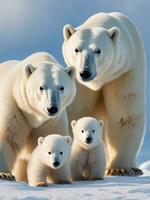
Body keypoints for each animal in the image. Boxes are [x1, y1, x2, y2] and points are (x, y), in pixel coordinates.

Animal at [0, 52, 75, 180]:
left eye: (61, 87)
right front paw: (5, 174)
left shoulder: (52, 121)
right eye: (41, 87)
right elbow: (6, 138)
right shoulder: (14, 107)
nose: (52, 108)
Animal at [62, 11, 146, 176]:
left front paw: (119, 168)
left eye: (98, 50)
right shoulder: (80, 86)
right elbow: (75, 113)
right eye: (76, 49)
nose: (85, 72)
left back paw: (135, 168)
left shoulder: (124, 74)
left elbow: (124, 117)